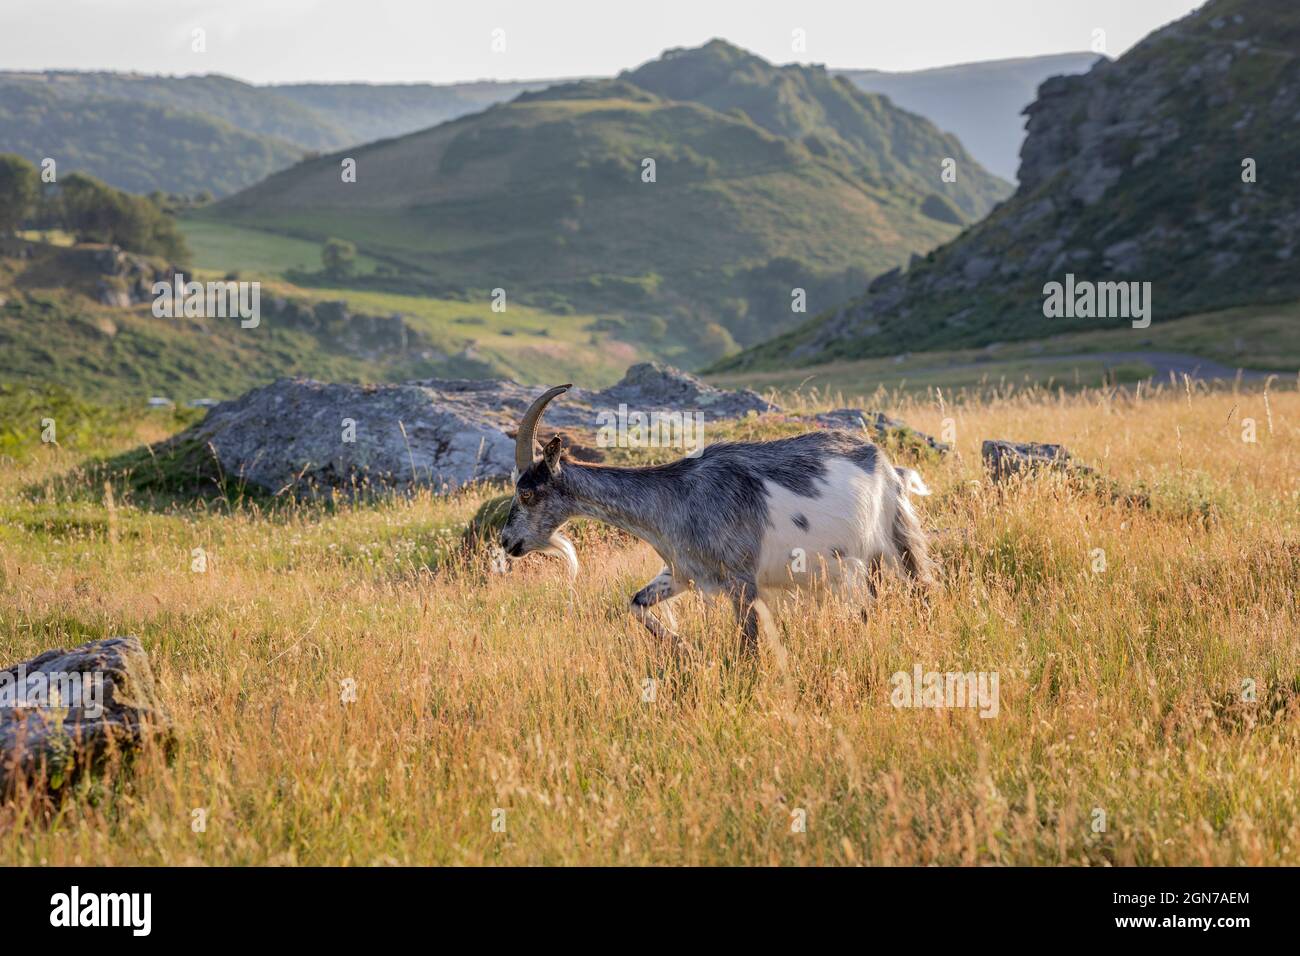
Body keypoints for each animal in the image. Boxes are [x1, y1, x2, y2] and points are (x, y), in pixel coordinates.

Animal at [499, 385, 936, 649]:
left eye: (527, 492)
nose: (507, 542)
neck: (676, 497)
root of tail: (884, 462)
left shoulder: (742, 581)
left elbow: (749, 646)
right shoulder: (682, 572)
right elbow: (636, 604)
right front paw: (684, 648)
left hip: (893, 539)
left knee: (918, 587)